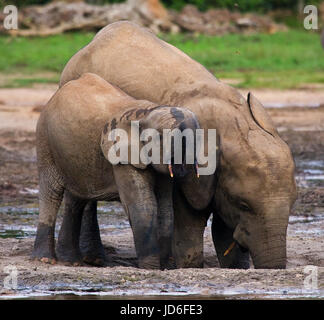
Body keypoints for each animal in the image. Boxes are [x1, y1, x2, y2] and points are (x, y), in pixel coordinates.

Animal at [33, 73, 200, 270]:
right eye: (161, 137)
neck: (147, 112)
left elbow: (165, 207)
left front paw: (166, 266)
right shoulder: (122, 157)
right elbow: (143, 205)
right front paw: (150, 268)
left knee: (77, 198)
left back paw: (71, 261)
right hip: (44, 139)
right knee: (51, 193)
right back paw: (45, 259)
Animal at [59, 21, 298, 268]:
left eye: (293, 202)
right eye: (244, 204)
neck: (232, 126)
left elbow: (224, 230)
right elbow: (189, 223)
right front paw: (187, 265)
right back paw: (95, 259)